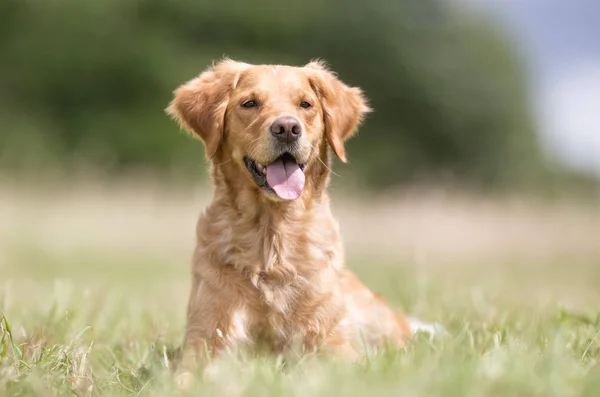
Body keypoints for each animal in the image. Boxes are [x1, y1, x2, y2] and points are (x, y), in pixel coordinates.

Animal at [166, 58, 410, 384]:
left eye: (305, 104)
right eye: (250, 103)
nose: (287, 128)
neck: (272, 234)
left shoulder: (332, 344)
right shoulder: (205, 342)